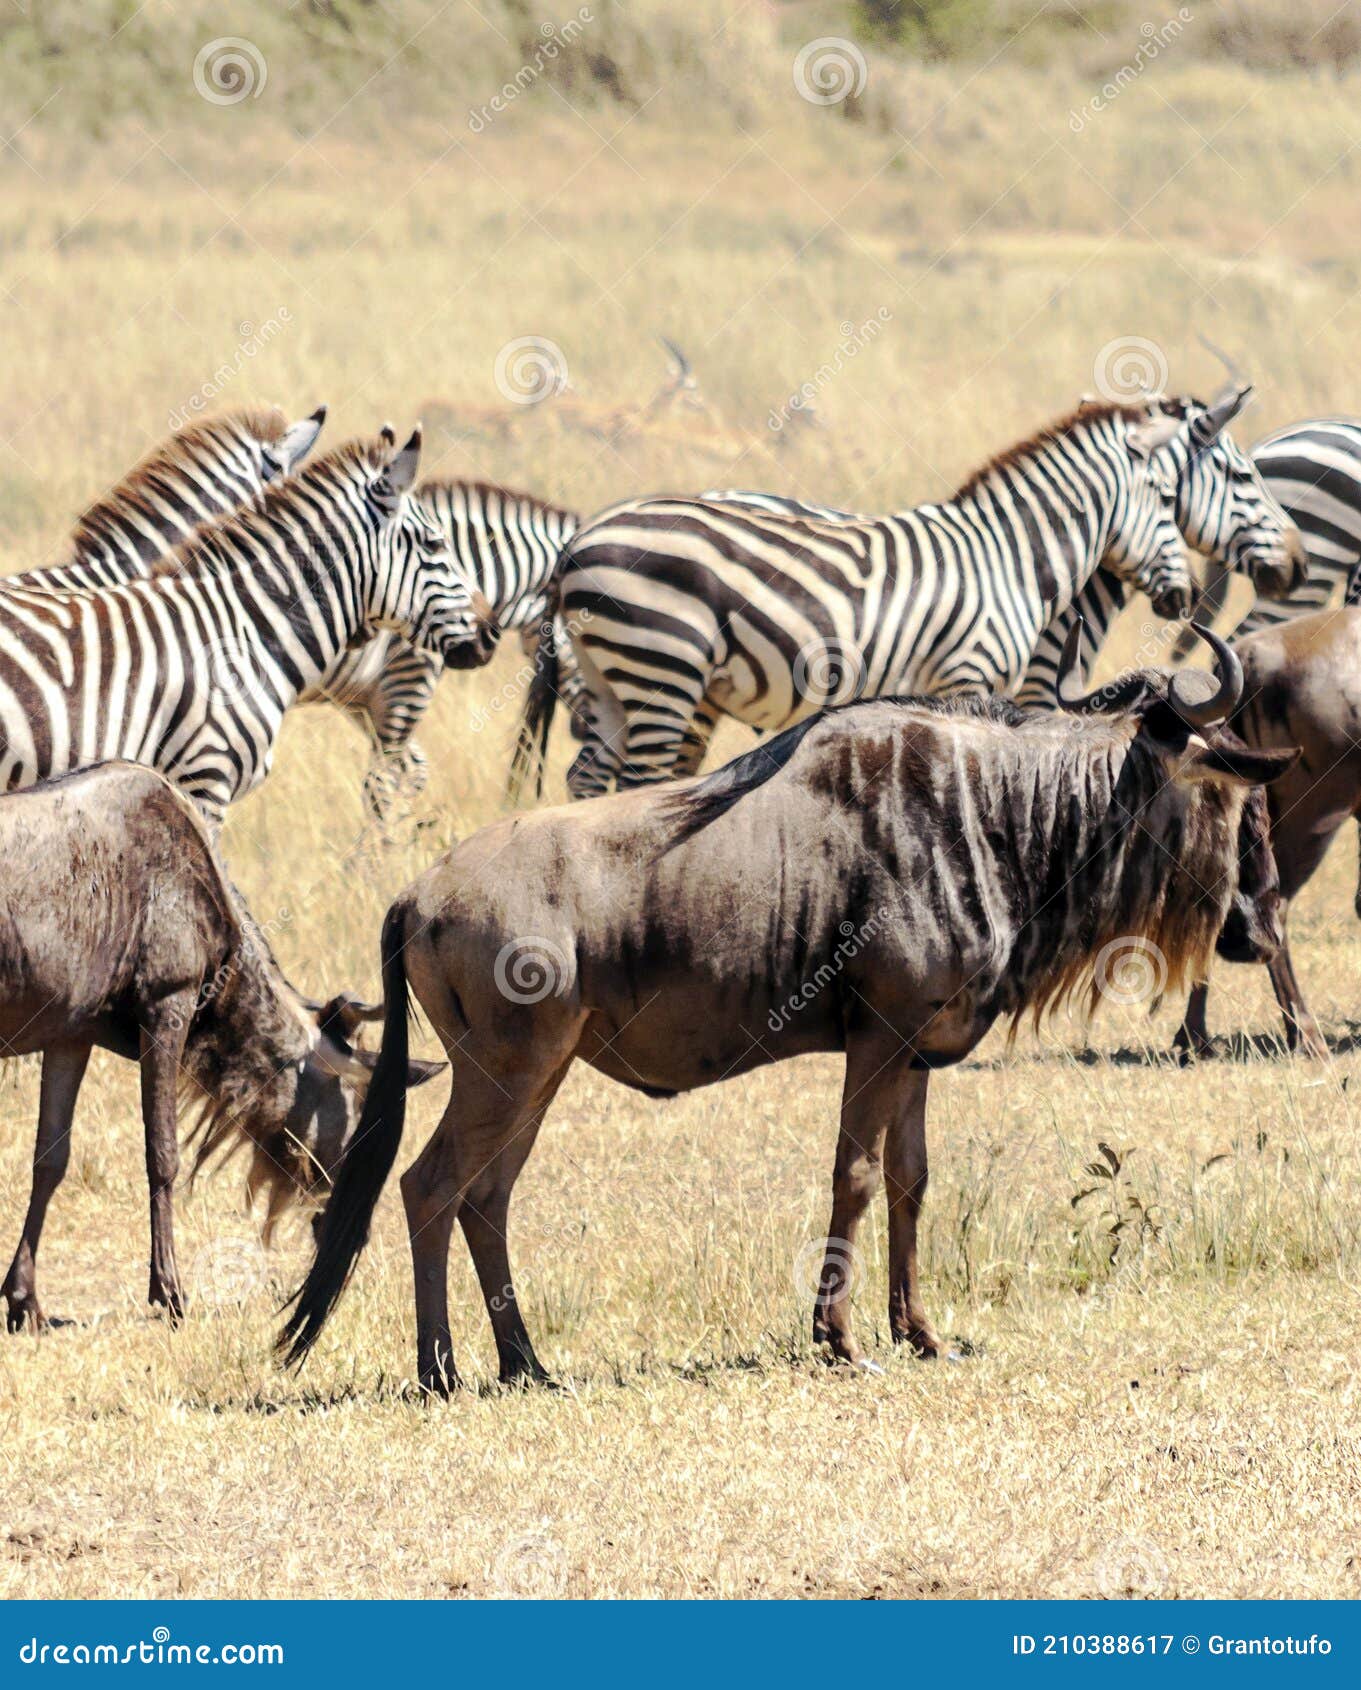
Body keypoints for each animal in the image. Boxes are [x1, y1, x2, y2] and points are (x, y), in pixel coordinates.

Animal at [510, 397, 1197, 797]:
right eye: (1167, 499)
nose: (1185, 597)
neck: (1009, 559)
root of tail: (577, 540)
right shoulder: (966, 676)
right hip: (663, 665)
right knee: (637, 782)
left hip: (611, 676)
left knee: (587, 777)